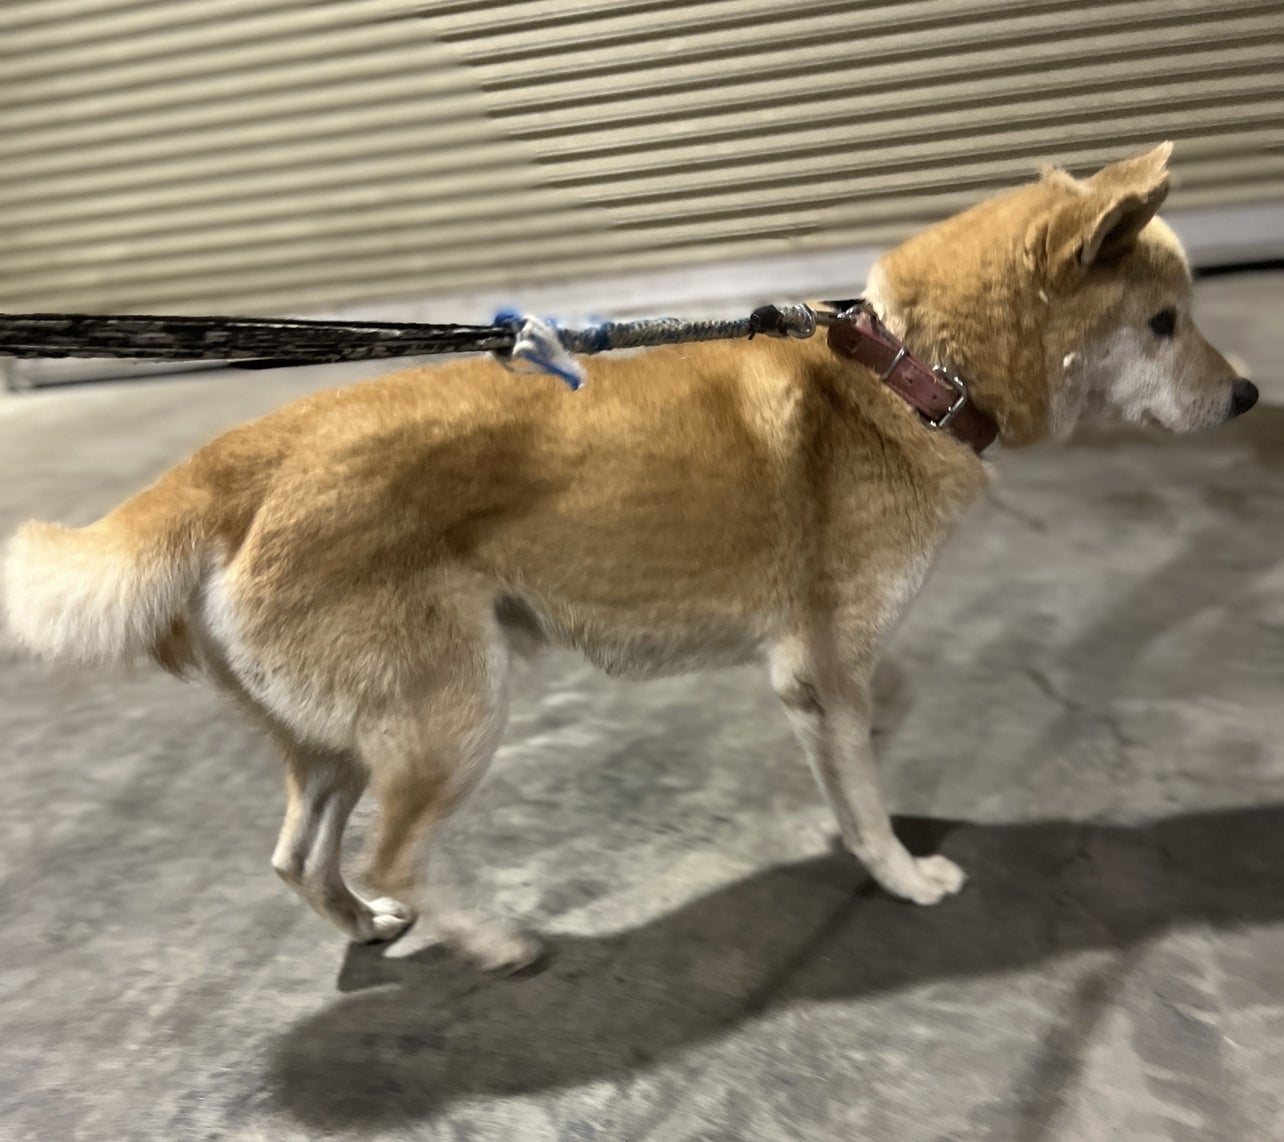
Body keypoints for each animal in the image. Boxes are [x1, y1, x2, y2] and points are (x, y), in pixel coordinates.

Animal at [3, 143, 1257, 972]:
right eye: (1164, 325)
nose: (1248, 396)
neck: (903, 375)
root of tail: (225, 461)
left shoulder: (820, 679)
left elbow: (861, 754)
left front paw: (858, 822)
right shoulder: (826, 663)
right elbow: (869, 789)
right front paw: (901, 873)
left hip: (341, 740)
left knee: (302, 861)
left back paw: (372, 926)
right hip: (454, 717)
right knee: (394, 855)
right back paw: (494, 941)